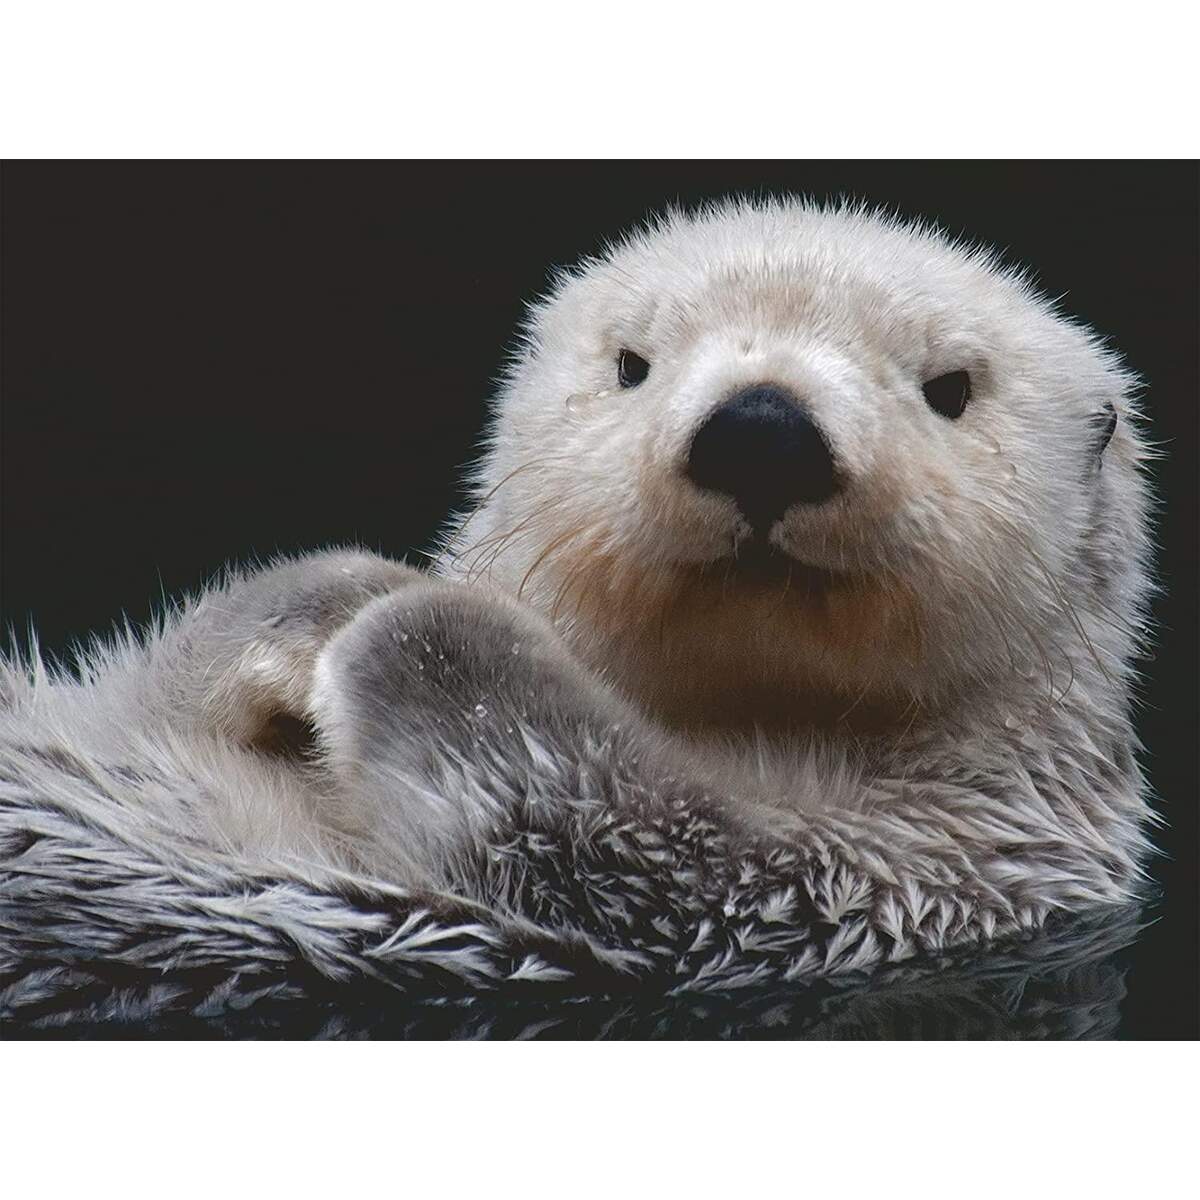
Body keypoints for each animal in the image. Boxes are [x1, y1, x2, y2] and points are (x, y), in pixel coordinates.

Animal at [0, 199, 1156, 1021]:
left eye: (951, 387)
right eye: (632, 364)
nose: (763, 430)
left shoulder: (905, 874)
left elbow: (619, 827)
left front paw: (410, 623)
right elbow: (151, 687)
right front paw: (330, 600)